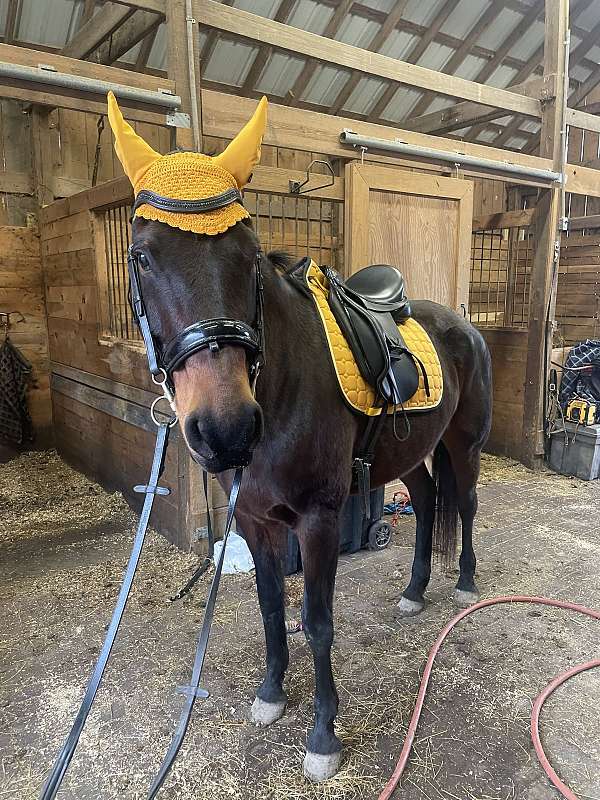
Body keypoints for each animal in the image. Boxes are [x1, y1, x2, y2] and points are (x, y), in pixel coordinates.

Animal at [129, 213, 492, 780]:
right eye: (143, 257)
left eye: (250, 256)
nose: (225, 429)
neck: (281, 386)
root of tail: (465, 326)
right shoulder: (254, 521)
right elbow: (271, 606)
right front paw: (271, 694)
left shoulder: (319, 521)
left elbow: (317, 624)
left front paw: (323, 736)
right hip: (409, 453)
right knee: (428, 501)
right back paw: (414, 591)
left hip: (464, 442)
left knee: (468, 504)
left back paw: (466, 583)